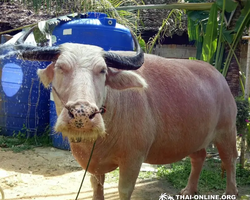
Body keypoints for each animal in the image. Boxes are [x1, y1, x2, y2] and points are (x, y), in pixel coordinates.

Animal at [12, 27, 237, 198]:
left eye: (102, 70)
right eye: (60, 67)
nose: (82, 114)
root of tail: (220, 78)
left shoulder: (133, 160)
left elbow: (124, 191)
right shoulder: (94, 165)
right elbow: (96, 188)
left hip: (226, 132)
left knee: (229, 160)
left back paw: (231, 192)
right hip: (195, 136)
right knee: (198, 157)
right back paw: (189, 190)